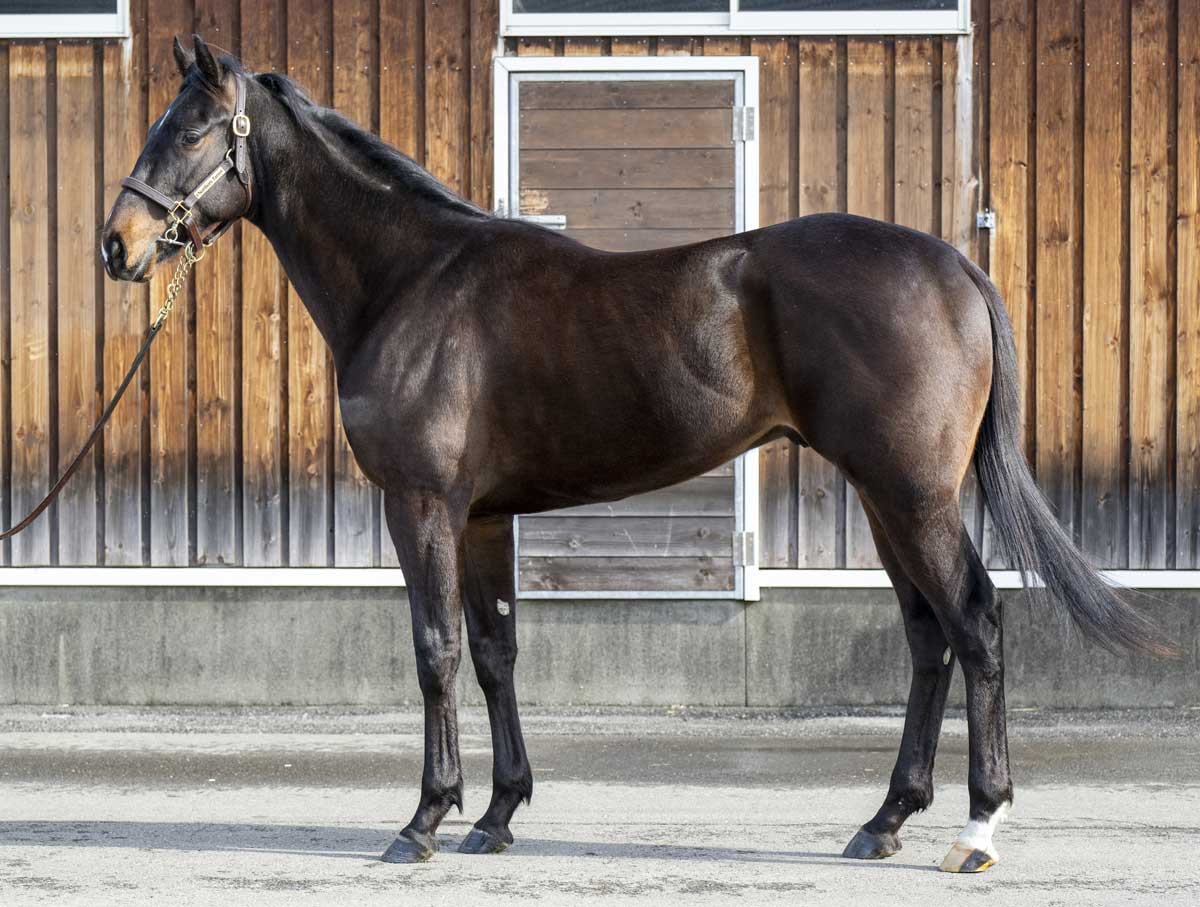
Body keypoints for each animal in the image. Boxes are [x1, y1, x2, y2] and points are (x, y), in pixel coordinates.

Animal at [101, 35, 1168, 874]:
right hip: (884, 495)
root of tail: (954, 266)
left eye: (191, 130)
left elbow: (435, 650)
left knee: (976, 622)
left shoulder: (423, 504)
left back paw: (979, 828)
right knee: (927, 635)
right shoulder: (482, 516)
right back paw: (885, 819)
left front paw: (425, 818)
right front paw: (498, 813)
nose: (117, 244)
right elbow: (494, 651)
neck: (411, 279)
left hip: (913, 493)